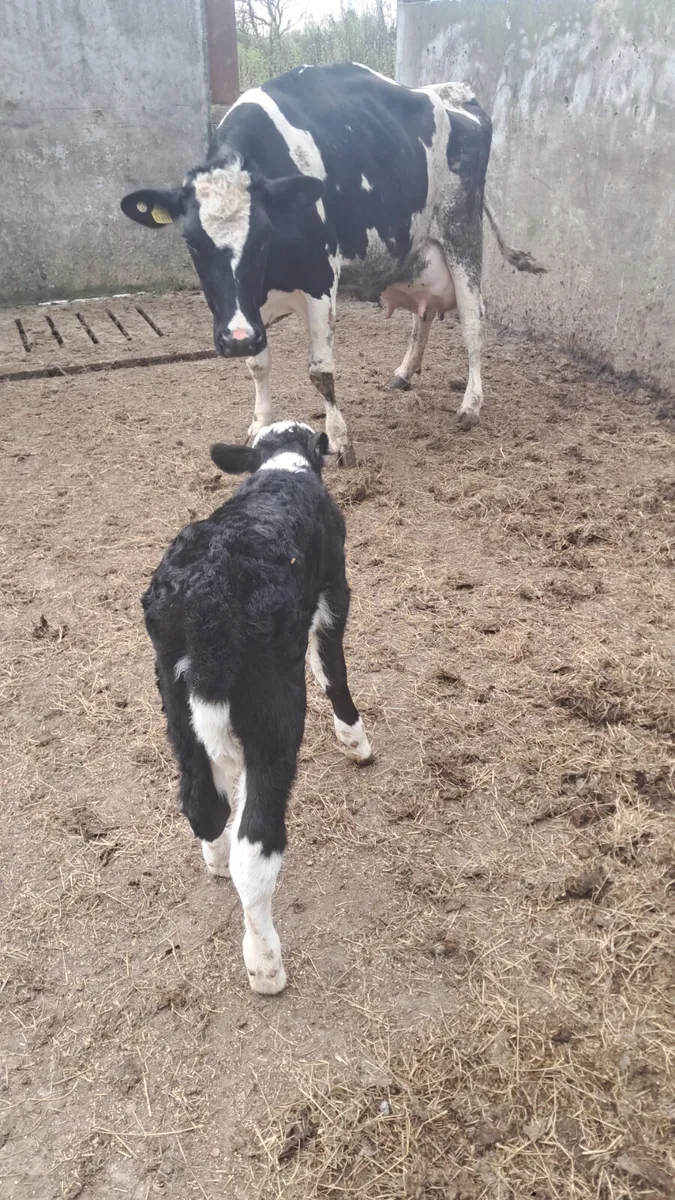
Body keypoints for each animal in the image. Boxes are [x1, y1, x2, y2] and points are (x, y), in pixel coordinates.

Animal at [121, 63, 544, 465]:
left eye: (263, 237)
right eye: (191, 242)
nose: (236, 339)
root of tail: (454, 91)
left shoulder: (319, 280)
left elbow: (321, 372)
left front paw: (340, 441)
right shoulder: (250, 308)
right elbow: (258, 365)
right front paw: (260, 423)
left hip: (461, 229)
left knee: (473, 320)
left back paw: (471, 404)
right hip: (416, 250)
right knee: (421, 317)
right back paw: (404, 373)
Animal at [142, 420, 372, 994]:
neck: (281, 468)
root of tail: (208, 601)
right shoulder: (334, 591)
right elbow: (332, 666)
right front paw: (355, 741)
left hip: (175, 700)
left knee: (202, 804)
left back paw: (216, 857)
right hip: (274, 711)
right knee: (257, 845)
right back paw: (265, 963)